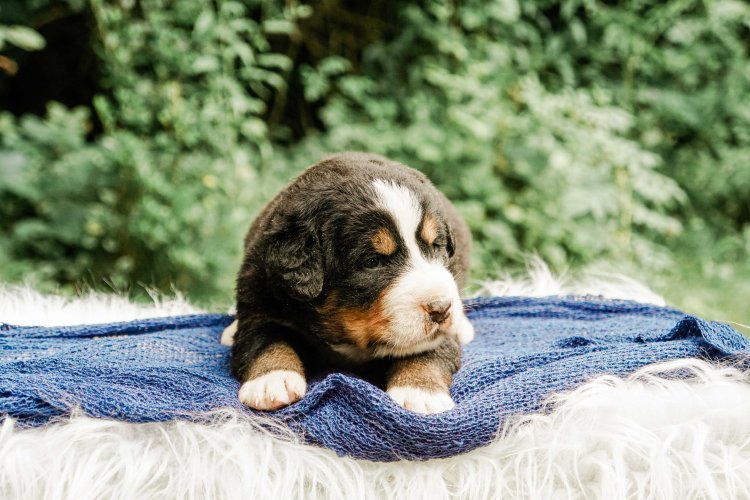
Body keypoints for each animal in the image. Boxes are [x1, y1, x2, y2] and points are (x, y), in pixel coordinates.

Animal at [222, 152, 474, 414]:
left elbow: (427, 348)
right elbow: (264, 339)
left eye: (436, 245)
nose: (441, 308)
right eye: (373, 261)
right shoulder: (260, 297)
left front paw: (421, 391)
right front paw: (271, 380)